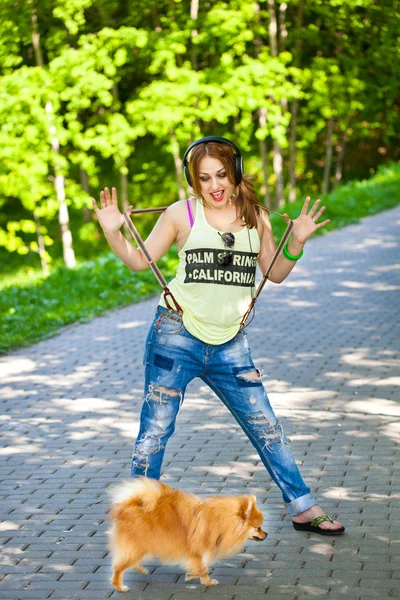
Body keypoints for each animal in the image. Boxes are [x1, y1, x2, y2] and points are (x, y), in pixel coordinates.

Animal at [108, 478, 268, 592]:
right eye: (258, 527)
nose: (266, 534)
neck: (220, 522)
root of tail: (128, 506)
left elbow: (202, 568)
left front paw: (205, 581)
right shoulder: (196, 551)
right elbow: (202, 568)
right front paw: (194, 576)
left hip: (141, 546)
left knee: (130, 562)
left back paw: (141, 570)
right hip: (137, 545)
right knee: (118, 567)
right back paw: (120, 587)